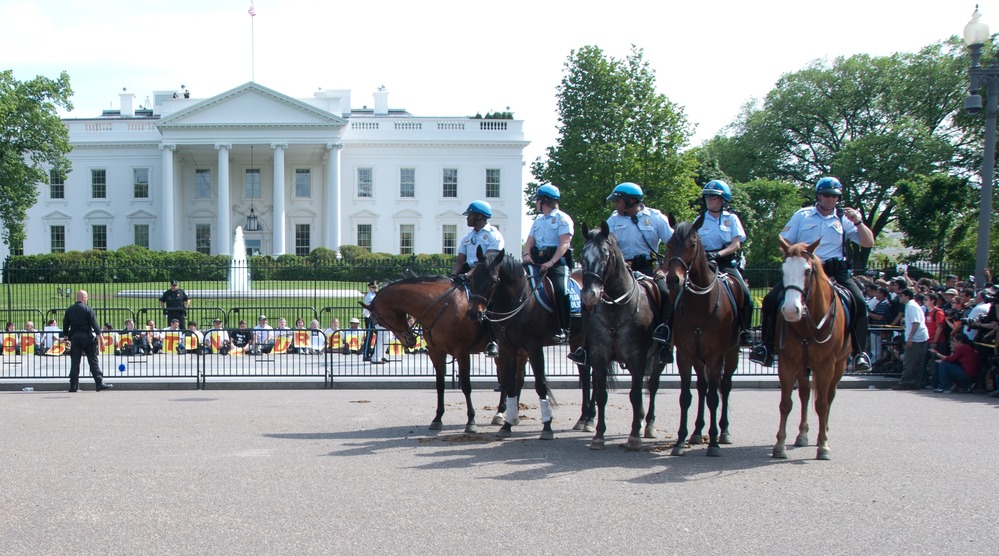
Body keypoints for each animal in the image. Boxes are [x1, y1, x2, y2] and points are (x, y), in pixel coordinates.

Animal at [362, 276, 520, 432]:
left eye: (380, 319)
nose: (410, 340)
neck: (441, 306)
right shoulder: (436, 352)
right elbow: (440, 385)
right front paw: (437, 418)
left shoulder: (462, 353)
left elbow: (466, 386)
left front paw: (471, 420)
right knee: (508, 380)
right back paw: (504, 412)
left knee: (508, 380)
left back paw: (503, 413)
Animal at [464, 251, 588, 438]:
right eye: (472, 278)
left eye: (493, 280)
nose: (474, 313)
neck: (519, 299)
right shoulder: (508, 348)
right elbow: (510, 383)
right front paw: (507, 424)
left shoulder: (534, 347)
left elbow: (540, 384)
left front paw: (547, 427)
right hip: (574, 342)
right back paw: (583, 419)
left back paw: (588, 420)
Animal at [576, 224, 668, 450]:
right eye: (582, 256)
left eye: (605, 254)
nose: (589, 295)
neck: (616, 309)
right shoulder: (599, 357)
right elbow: (601, 394)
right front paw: (598, 434)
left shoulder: (637, 357)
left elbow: (635, 395)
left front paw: (634, 435)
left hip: (658, 358)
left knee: (652, 386)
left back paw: (648, 424)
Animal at [664, 216, 744, 456]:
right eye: (669, 244)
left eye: (692, 244)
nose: (673, 280)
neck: (700, 304)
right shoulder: (685, 354)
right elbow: (686, 397)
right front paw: (680, 440)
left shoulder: (716, 355)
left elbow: (714, 397)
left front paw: (714, 443)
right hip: (699, 360)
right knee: (701, 387)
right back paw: (698, 431)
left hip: (732, 352)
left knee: (724, 387)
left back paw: (724, 431)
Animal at [768, 238, 848, 460]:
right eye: (782, 270)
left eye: (807, 270)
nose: (790, 310)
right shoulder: (787, 363)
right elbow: (785, 404)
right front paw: (779, 445)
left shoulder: (826, 365)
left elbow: (821, 404)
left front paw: (823, 445)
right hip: (803, 367)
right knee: (804, 394)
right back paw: (802, 434)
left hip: (839, 365)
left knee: (829, 396)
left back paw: (825, 431)